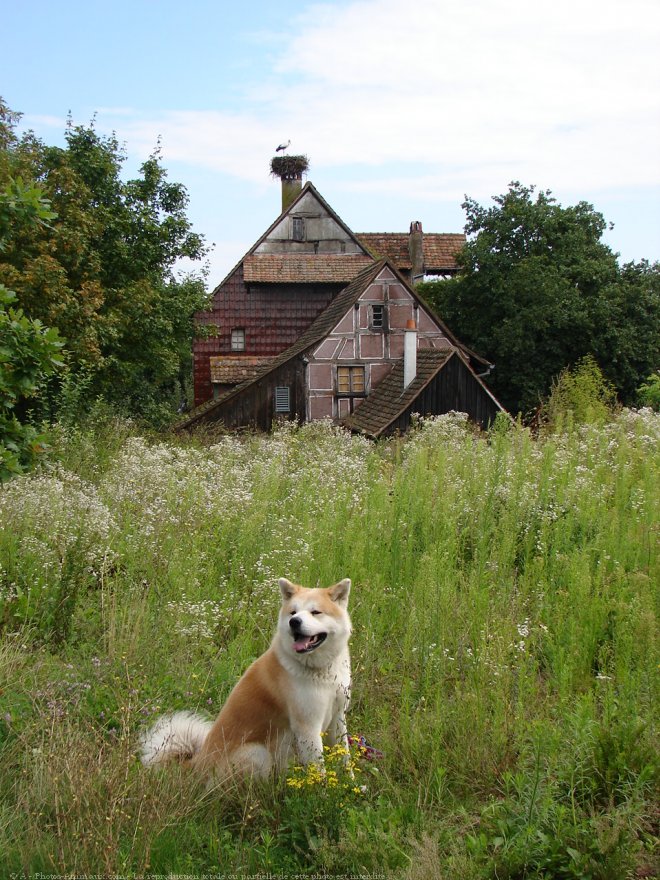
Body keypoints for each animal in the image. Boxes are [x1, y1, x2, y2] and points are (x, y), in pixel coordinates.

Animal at [139, 580, 350, 780]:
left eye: (315, 612)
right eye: (293, 612)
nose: (294, 622)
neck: (323, 672)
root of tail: (195, 766)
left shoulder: (337, 717)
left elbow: (345, 758)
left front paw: (350, 783)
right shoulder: (308, 729)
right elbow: (319, 772)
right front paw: (322, 790)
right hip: (257, 753)